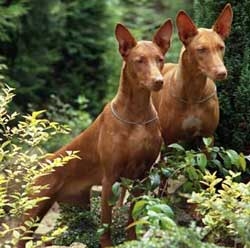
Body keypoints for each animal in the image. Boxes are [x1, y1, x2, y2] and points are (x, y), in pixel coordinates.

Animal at [17, 20, 173, 247]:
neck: (136, 116)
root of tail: (44, 161)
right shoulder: (110, 178)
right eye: (139, 61)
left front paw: (132, 241)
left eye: (160, 59)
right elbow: (106, 222)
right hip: (35, 209)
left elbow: (132, 217)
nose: (159, 81)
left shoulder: (142, 175)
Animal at [152, 3, 232, 145]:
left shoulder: (207, 137)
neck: (194, 93)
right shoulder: (169, 139)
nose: (222, 73)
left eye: (221, 47)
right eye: (201, 49)